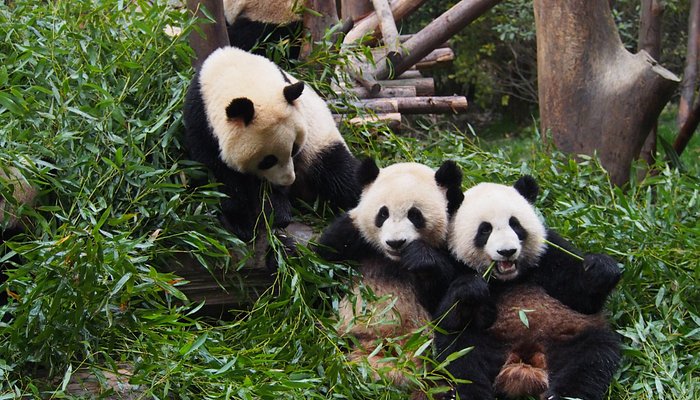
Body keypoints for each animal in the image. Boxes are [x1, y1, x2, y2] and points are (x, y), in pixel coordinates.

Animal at [183, 46, 360, 243]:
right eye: (268, 160)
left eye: (294, 149)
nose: (289, 180)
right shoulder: (201, 122)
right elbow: (220, 177)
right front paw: (241, 222)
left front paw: (277, 213)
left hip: (321, 143)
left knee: (342, 174)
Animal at [317, 159, 464, 385]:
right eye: (383, 213)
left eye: (415, 215)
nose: (396, 242)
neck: (393, 260)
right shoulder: (351, 235)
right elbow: (321, 266)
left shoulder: (450, 245)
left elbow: (446, 296)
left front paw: (420, 258)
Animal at [433, 176, 622, 400]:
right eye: (485, 229)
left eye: (515, 225)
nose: (507, 251)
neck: (507, 279)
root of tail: (526, 357)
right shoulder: (450, 260)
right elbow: (444, 316)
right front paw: (472, 288)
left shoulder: (549, 252)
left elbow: (581, 299)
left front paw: (600, 268)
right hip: (489, 341)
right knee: (462, 358)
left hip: (570, 336)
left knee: (591, 359)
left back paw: (563, 395)